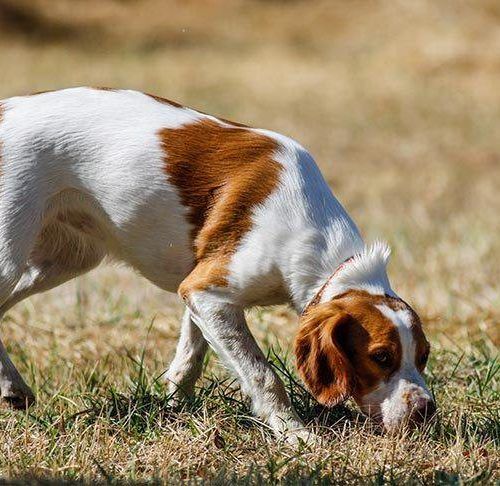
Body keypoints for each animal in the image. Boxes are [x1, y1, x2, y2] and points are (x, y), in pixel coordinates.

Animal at [0, 87, 435, 442]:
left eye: (423, 356)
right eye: (380, 357)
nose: (425, 411)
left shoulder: (202, 289)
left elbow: (190, 358)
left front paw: (176, 410)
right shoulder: (210, 292)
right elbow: (262, 373)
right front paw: (295, 434)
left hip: (65, 259)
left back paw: (12, 388)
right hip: (12, 254)